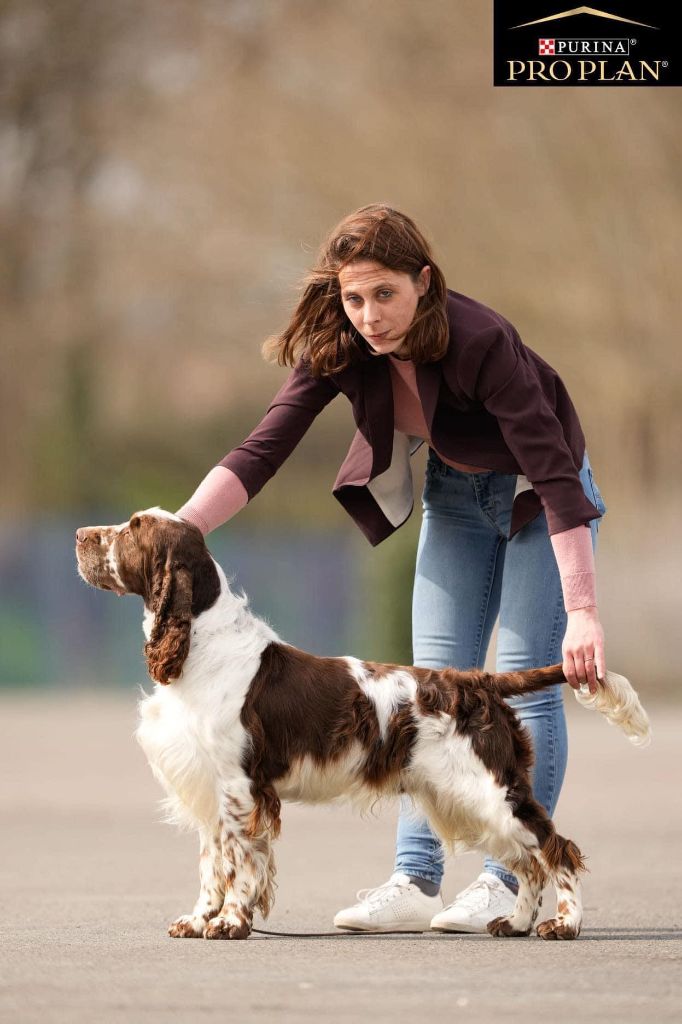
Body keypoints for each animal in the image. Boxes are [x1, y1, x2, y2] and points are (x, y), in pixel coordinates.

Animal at [74, 507, 647, 937]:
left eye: (133, 528)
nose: (80, 535)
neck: (201, 646)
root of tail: (479, 681)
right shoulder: (210, 789)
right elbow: (212, 866)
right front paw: (198, 921)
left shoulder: (239, 789)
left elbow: (240, 863)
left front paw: (231, 923)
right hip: (467, 799)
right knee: (527, 862)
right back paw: (516, 923)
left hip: (491, 791)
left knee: (557, 850)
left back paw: (564, 926)